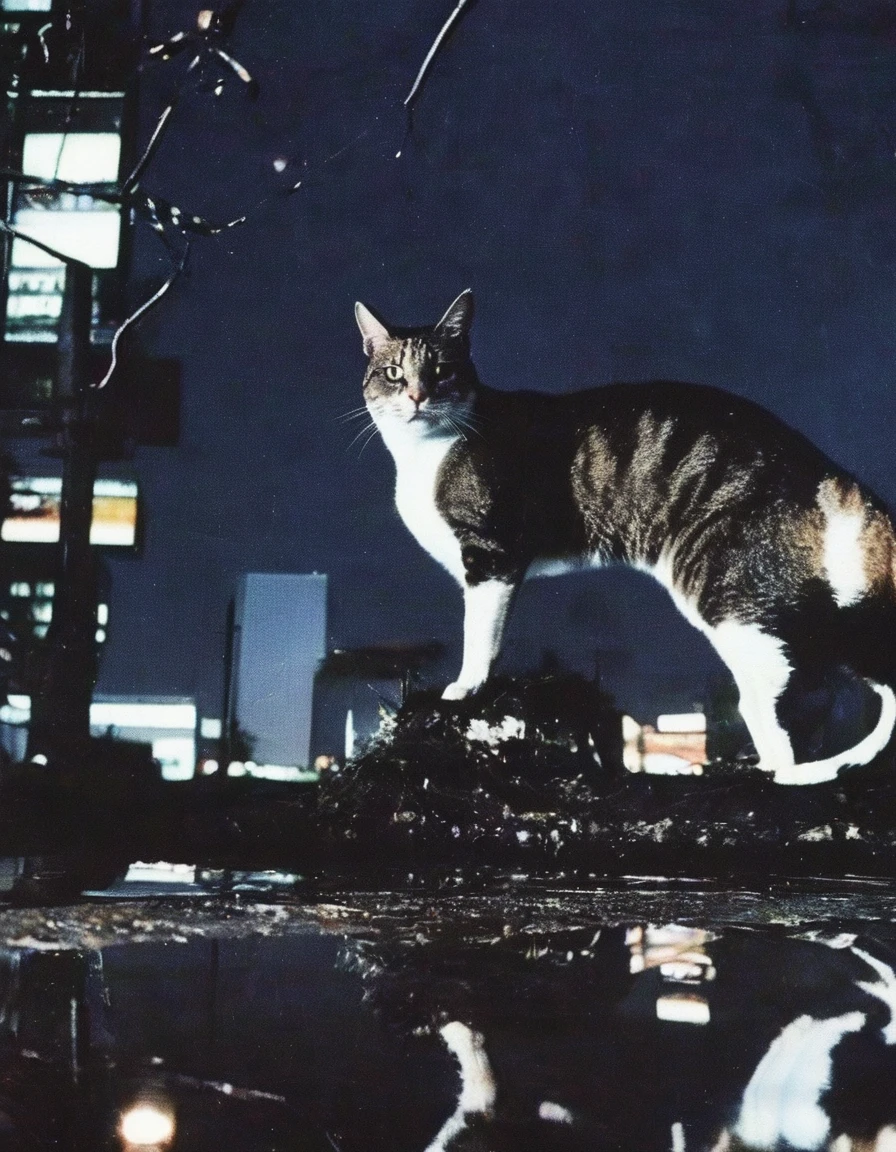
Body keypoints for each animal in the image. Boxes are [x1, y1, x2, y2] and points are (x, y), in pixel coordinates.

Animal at [354, 292, 893, 787]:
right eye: (394, 373)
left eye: (441, 371)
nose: (418, 395)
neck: (422, 456)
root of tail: (823, 466)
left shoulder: (491, 557)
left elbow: (479, 634)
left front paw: (466, 688)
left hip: (719, 587)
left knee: (780, 683)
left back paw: (775, 771)